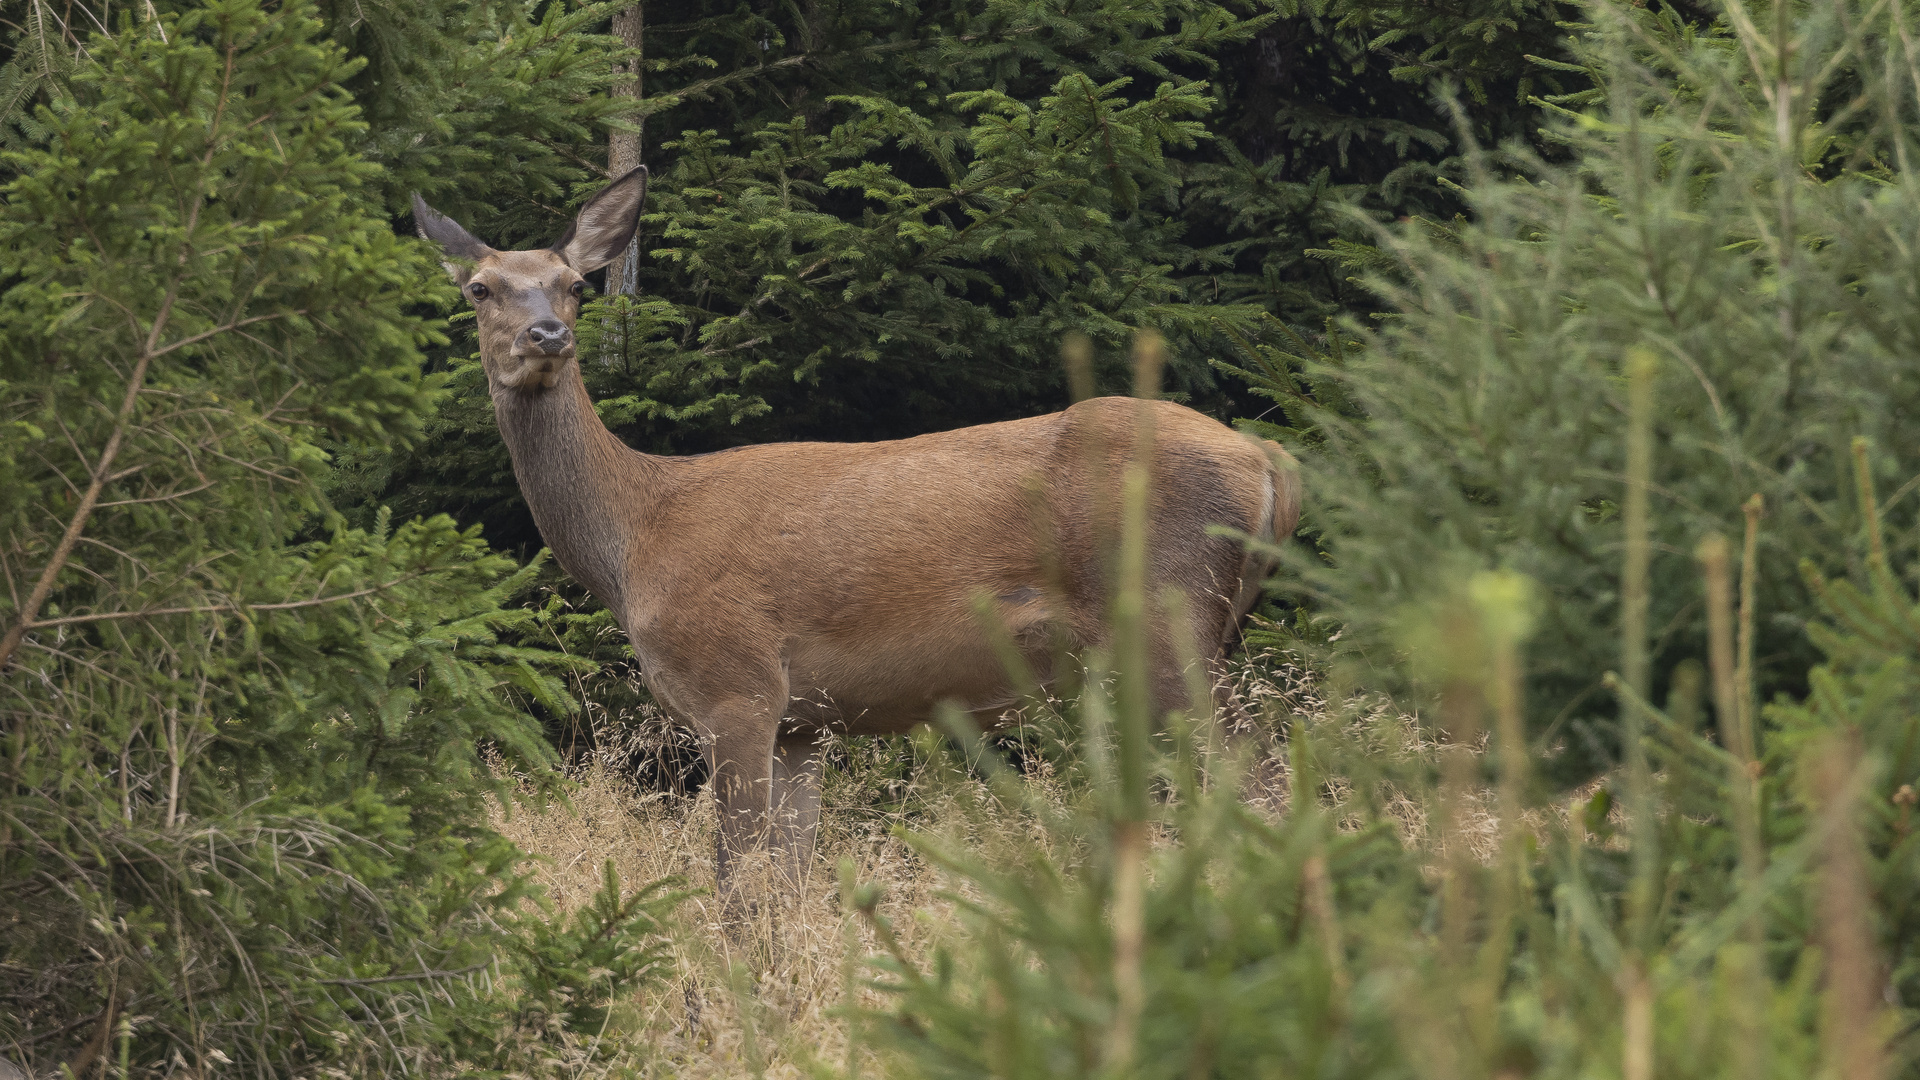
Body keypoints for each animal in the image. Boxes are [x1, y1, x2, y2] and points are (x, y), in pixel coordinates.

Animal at [410, 166, 1297, 891]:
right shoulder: (805, 721)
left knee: (1261, 779)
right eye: (481, 288)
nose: (547, 336)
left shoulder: (737, 684)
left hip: (1168, 617)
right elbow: (793, 881)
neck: (634, 540)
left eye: (572, 285)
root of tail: (1268, 460)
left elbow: (736, 884)